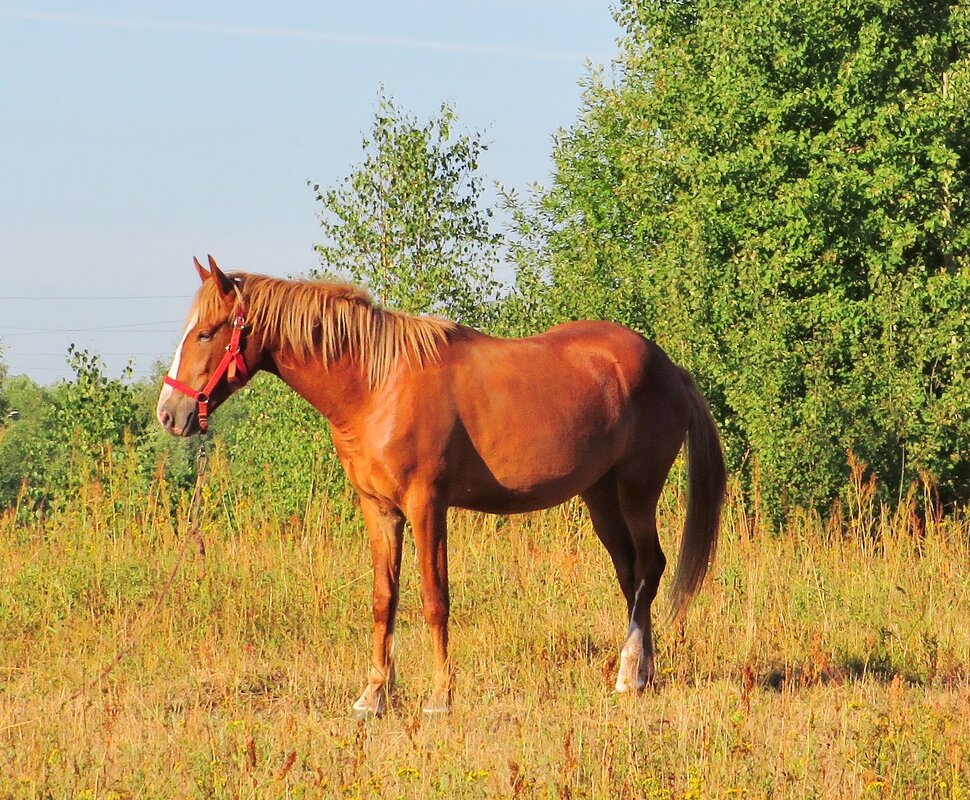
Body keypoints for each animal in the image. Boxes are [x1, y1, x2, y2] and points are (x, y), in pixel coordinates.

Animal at [155, 258, 724, 720]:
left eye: (206, 333)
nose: (169, 413)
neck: (375, 385)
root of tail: (669, 368)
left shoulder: (426, 505)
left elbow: (434, 598)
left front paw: (439, 698)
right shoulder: (379, 509)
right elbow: (384, 598)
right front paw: (373, 696)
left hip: (637, 489)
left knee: (650, 568)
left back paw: (629, 672)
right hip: (601, 496)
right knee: (631, 574)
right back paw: (643, 673)